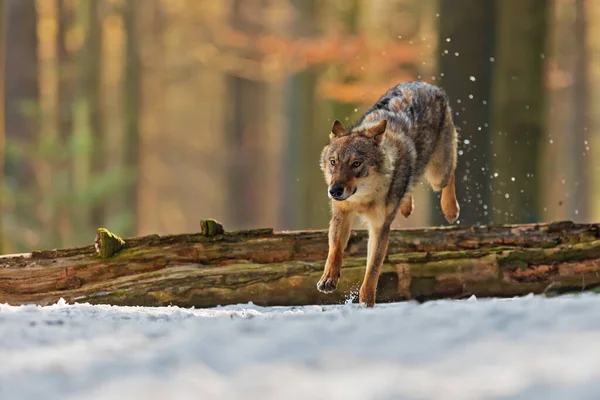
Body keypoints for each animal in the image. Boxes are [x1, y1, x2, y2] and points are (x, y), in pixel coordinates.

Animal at [318, 80, 460, 306]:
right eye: (333, 162)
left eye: (356, 164)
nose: (334, 191)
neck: (363, 198)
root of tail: (426, 84)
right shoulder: (342, 215)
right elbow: (335, 251)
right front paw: (328, 279)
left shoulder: (380, 228)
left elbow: (372, 271)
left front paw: (366, 304)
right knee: (410, 186)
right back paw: (406, 207)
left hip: (438, 175)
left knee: (451, 173)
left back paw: (451, 210)